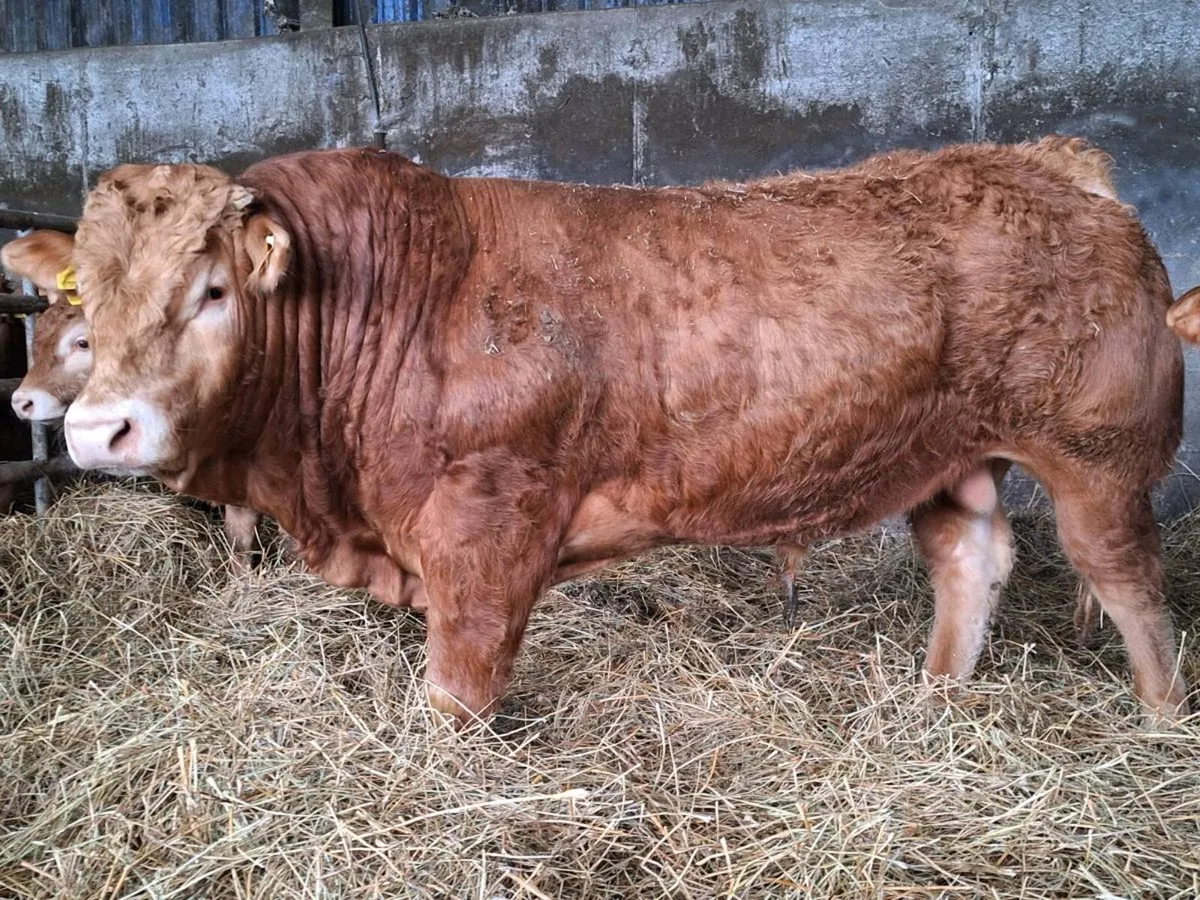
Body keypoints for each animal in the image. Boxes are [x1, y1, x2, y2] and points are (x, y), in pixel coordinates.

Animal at [59, 137, 1188, 727]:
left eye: (211, 291)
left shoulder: (487, 528)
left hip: (1099, 458)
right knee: (971, 558)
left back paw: (1162, 719)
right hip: (947, 457)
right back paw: (935, 701)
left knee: (1129, 584)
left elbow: (459, 687)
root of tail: (1053, 164)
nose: (97, 430)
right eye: (88, 307)